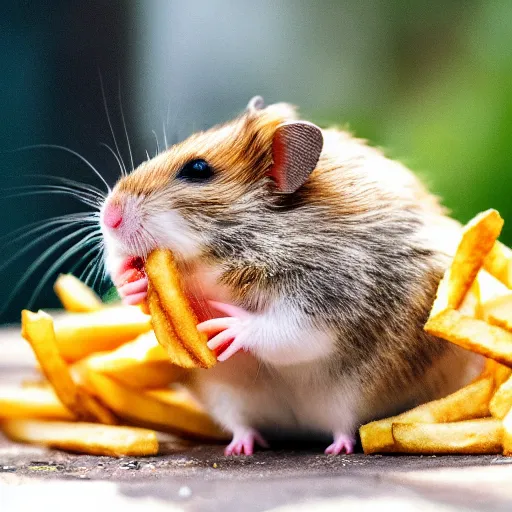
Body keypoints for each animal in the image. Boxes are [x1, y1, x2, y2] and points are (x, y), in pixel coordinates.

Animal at [101, 97, 484, 456]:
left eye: (197, 169)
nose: (108, 217)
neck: (211, 263)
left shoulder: (329, 294)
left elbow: (285, 329)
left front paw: (229, 328)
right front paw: (130, 279)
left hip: (352, 398)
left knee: (345, 426)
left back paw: (337, 447)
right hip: (227, 396)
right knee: (242, 424)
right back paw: (241, 446)